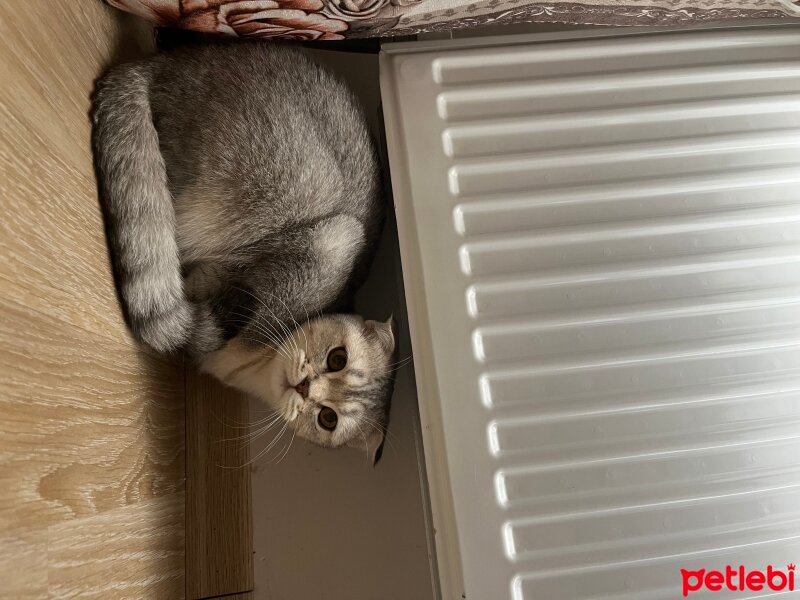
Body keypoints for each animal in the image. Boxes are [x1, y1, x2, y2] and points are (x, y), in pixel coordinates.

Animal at [90, 42, 394, 464]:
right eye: (338, 358)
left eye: (328, 419)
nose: (305, 388)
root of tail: (161, 64)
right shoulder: (329, 250)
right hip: (285, 184)